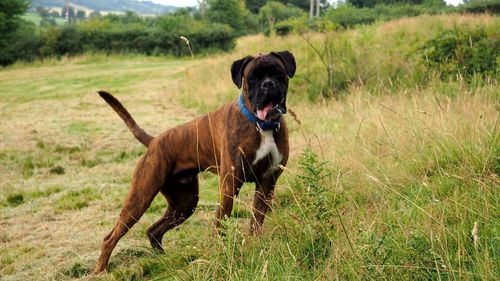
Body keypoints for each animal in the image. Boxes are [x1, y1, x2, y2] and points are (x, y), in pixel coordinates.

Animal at [94, 49, 294, 272]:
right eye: (253, 78)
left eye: (278, 73)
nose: (268, 84)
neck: (261, 125)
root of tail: (154, 141)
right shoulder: (230, 183)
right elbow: (221, 222)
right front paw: (221, 255)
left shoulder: (267, 182)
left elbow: (256, 220)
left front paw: (255, 245)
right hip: (140, 197)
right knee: (110, 237)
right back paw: (100, 271)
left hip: (184, 203)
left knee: (154, 230)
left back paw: (164, 260)